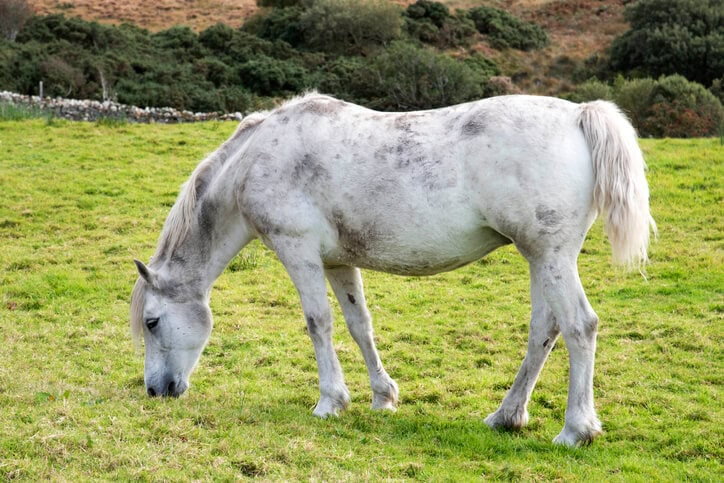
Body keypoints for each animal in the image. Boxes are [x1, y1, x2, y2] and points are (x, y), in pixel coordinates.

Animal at [130, 92, 655, 446]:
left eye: (152, 322)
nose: (157, 391)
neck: (260, 156)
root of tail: (578, 114)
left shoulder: (298, 252)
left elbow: (318, 323)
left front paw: (329, 402)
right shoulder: (338, 262)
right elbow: (358, 324)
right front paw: (382, 395)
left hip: (551, 258)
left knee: (579, 326)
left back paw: (576, 430)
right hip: (543, 259)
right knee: (544, 329)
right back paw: (506, 416)